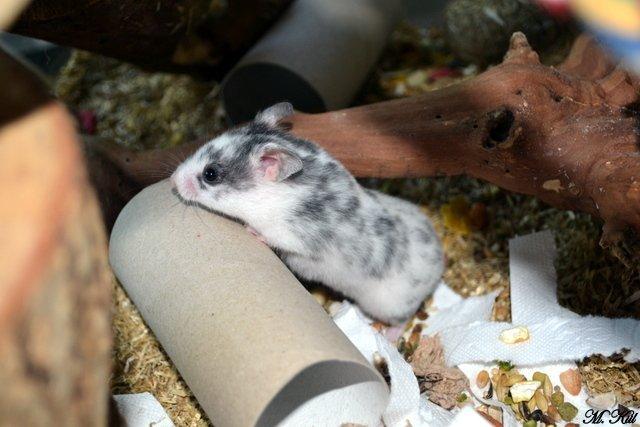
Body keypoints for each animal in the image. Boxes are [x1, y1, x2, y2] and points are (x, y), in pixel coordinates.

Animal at [171, 102, 444, 324]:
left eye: (211, 174)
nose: (173, 181)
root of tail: (439, 265)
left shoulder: (292, 235)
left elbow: (272, 237)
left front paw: (250, 230)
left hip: (391, 305)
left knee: (401, 321)